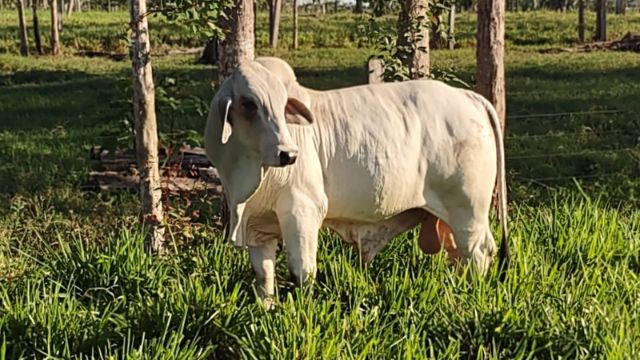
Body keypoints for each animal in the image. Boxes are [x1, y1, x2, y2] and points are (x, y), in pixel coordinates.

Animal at [202, 58, 508, 300]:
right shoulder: (258, 226)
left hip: (468, 210)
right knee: (461, 255)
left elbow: (302, 272)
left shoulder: (302, 210)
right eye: (248, 103)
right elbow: (264, 277)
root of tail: (468, 97)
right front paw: (268, 309)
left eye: (282, 104)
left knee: (478, 253)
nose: (288, 154)